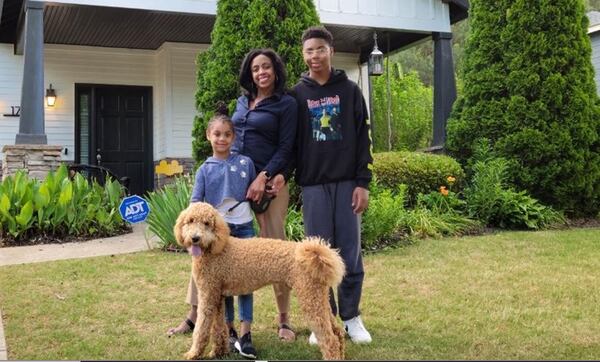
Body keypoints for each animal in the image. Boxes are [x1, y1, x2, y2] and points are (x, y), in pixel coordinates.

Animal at [173, 202, 346, 360]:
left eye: (207, 223)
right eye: (190, 221)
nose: (195, 238)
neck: (215, 248)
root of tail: (317, 255)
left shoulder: (207, 295)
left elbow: (201, 327)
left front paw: (193, 353)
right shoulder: (216, 296)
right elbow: (218, 327)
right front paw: (218, 352)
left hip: (309, 299)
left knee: (329, 339)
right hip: (319, 299)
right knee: (337, 332)